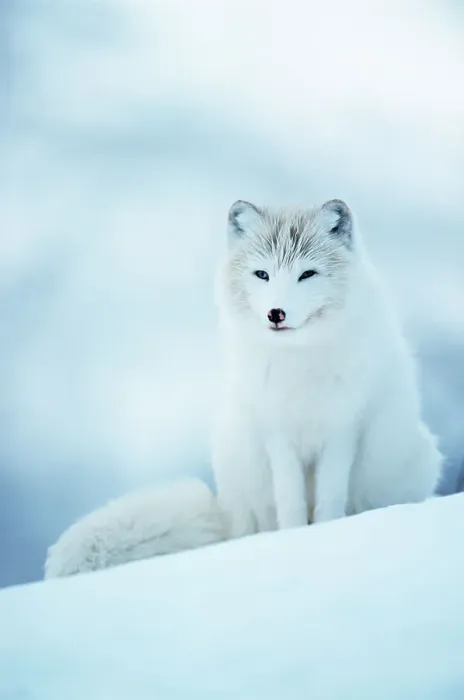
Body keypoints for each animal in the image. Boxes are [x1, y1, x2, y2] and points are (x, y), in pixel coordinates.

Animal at [44, 199, 442, 578]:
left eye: (307, 274)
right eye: (262, 274)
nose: (276, 313)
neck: (298, 364)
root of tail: (224, 512)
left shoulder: (342, 429)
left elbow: (330, 499)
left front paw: (323, 536)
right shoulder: (276, 432)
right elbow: (291, 502)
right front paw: (295, 539)